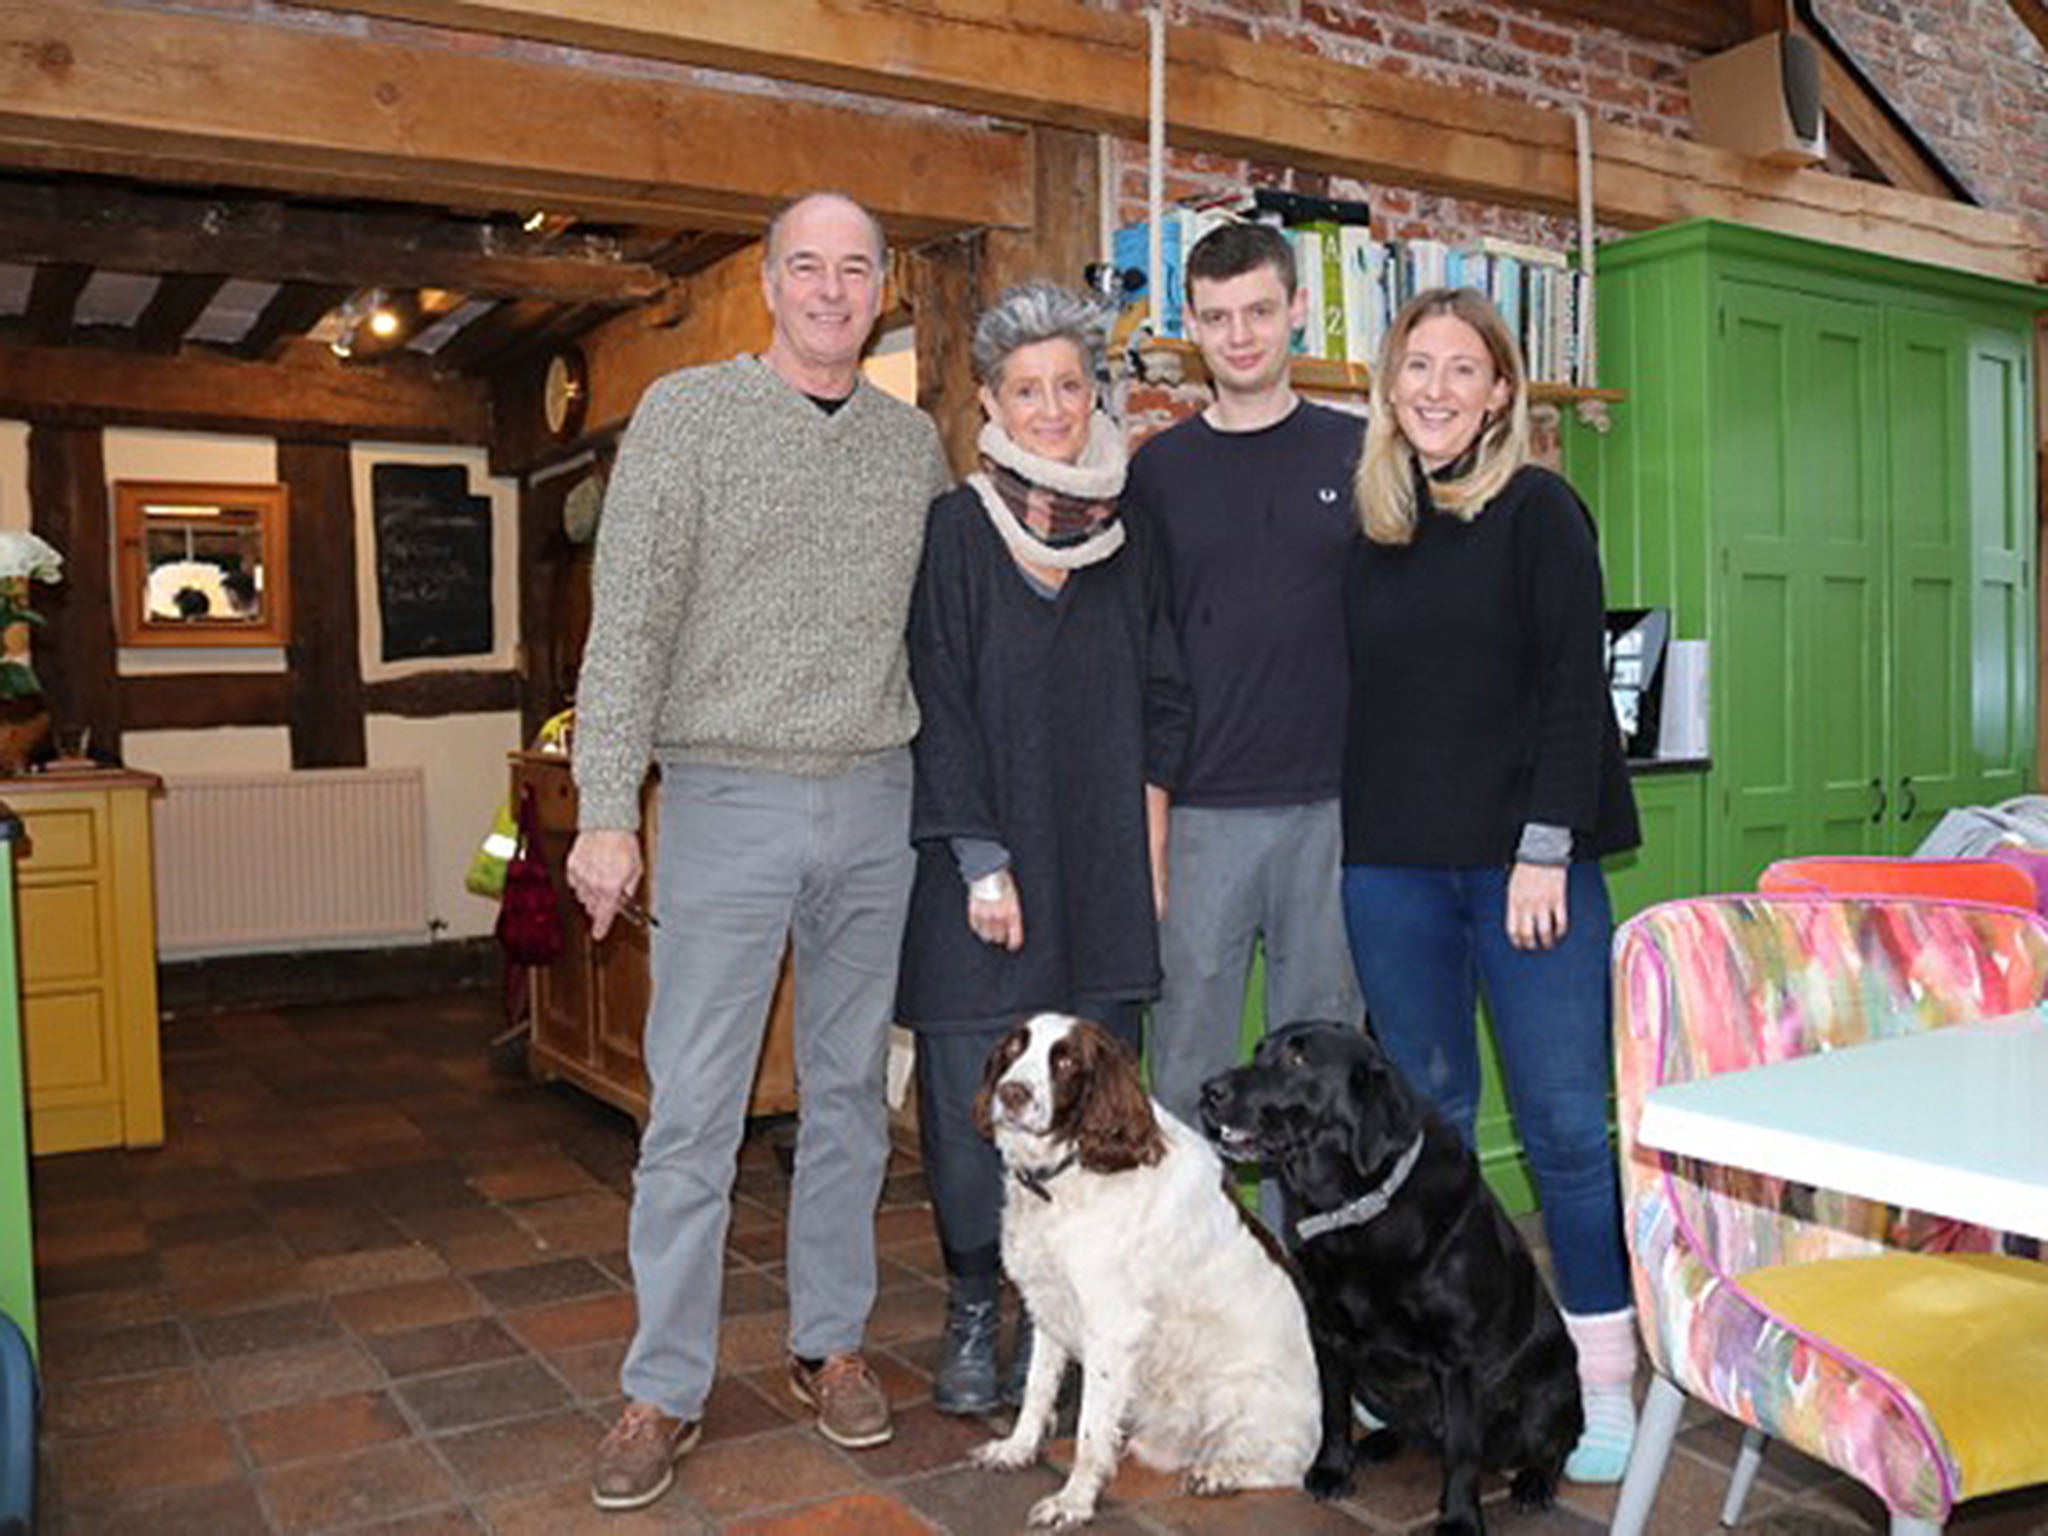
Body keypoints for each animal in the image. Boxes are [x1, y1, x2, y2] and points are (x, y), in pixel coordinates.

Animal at [970, 1015, 1318, 1531]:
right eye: (1014, 1048)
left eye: (1066, 1062)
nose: (1011, 1094)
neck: (1072, 1169)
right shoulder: (1048, 1306)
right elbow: (1036, 1390)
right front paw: (1017, 1449)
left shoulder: (1111, 1328)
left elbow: (1088, 1433)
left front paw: (1074, 1501)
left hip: (1237, 1397)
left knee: (1289, 1467)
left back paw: (1220, 1475)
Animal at [1196, 1015, 1581, 1531]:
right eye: (1259, 1051)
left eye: (1297, 1058)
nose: (1208, 1090)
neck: (1355, 1209)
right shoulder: (1328, 1334)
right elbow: (1334, 1413)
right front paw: (1332, 1469)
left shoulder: (1456, 1357)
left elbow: (1462, 1449)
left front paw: (1460, 1517)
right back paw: (1381, 1442)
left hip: (1549, 1389)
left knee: (1555, 1444)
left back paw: (1535, 1481)